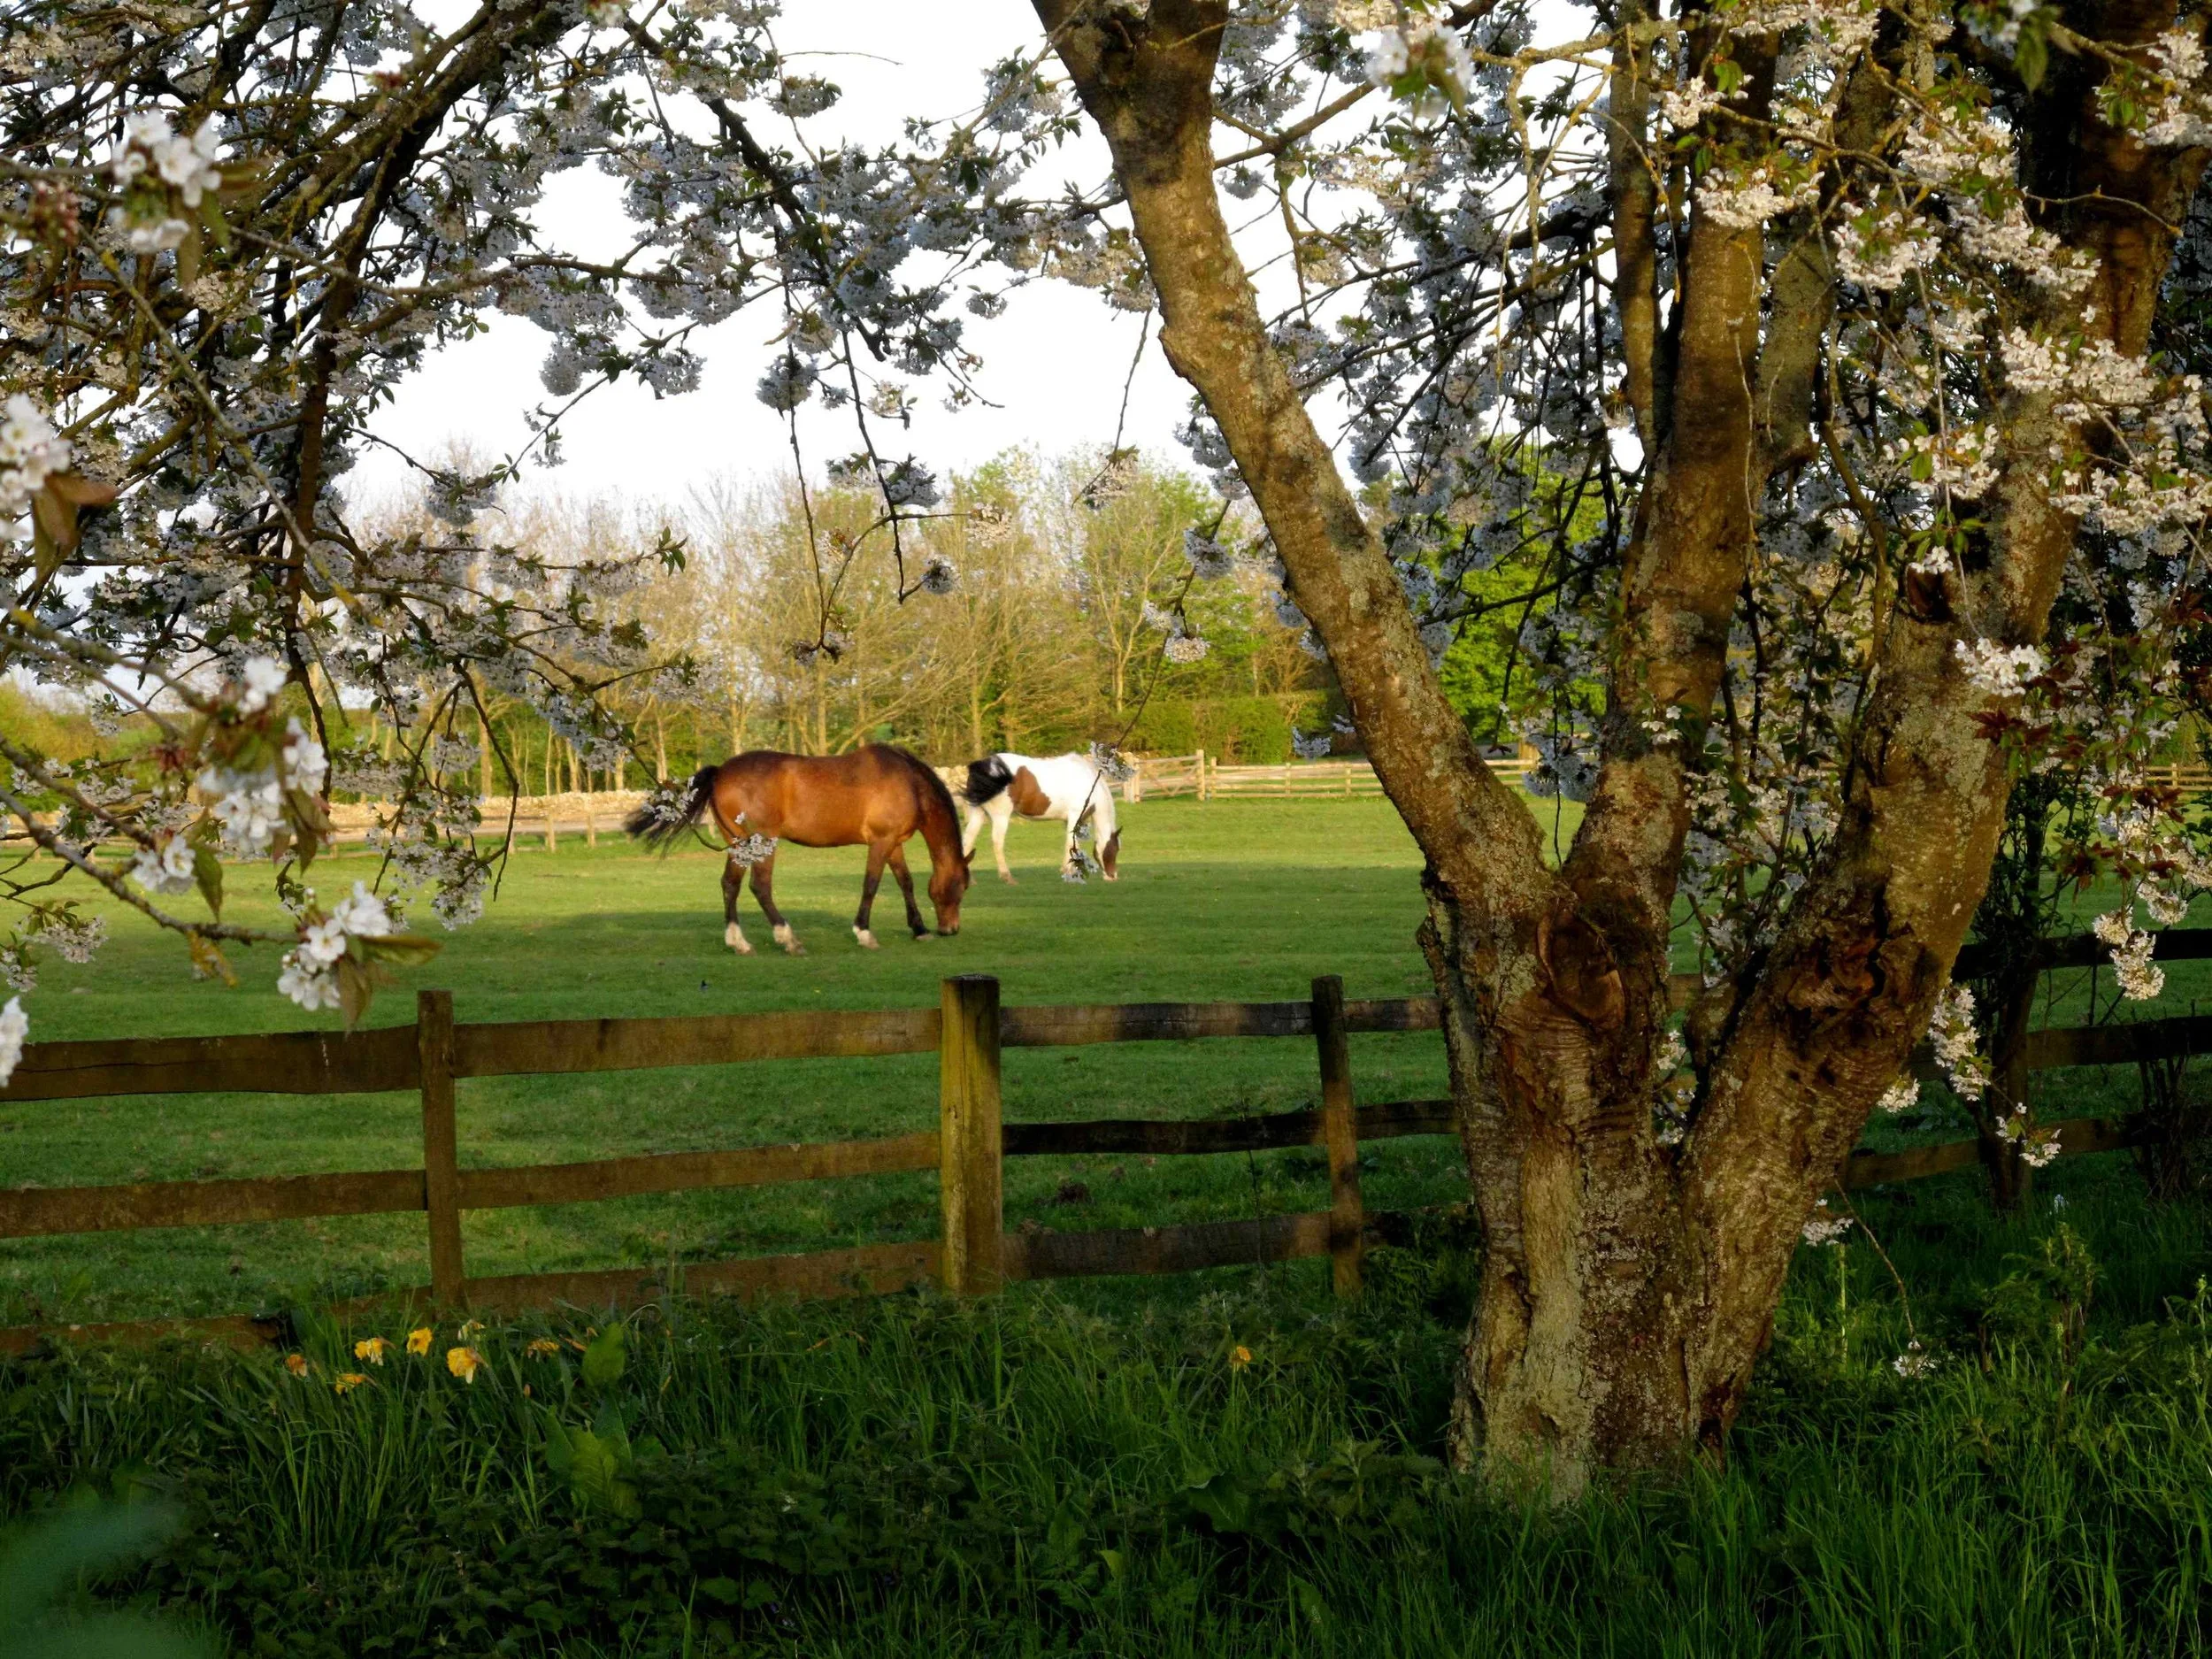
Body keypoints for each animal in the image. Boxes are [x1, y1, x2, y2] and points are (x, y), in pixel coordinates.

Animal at [625, 745, 971, 954]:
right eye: (961, 887)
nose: (951, 929)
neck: (908, 783)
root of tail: (722, 771)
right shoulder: (881, 842)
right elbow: (871, 885)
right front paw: (864, 932)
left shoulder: (893, 844)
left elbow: (906, 882)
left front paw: (919, 928)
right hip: (763, 842)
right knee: (760, 886)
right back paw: (788, 938)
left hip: (739, 844)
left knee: (730, 885)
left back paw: (739, 942)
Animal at [958, 751, 1121, 883]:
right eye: (1115, 849)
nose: (1113, 876)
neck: (1089, 783)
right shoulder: (1075, 816)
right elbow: (1070, 843)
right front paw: (1068, 871)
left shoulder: (1072, 821)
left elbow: (1074, 844)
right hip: (1001, 816)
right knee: (997, 843)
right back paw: (1007, 877)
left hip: (978, 814)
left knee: (968, 841)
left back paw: (970, 880)